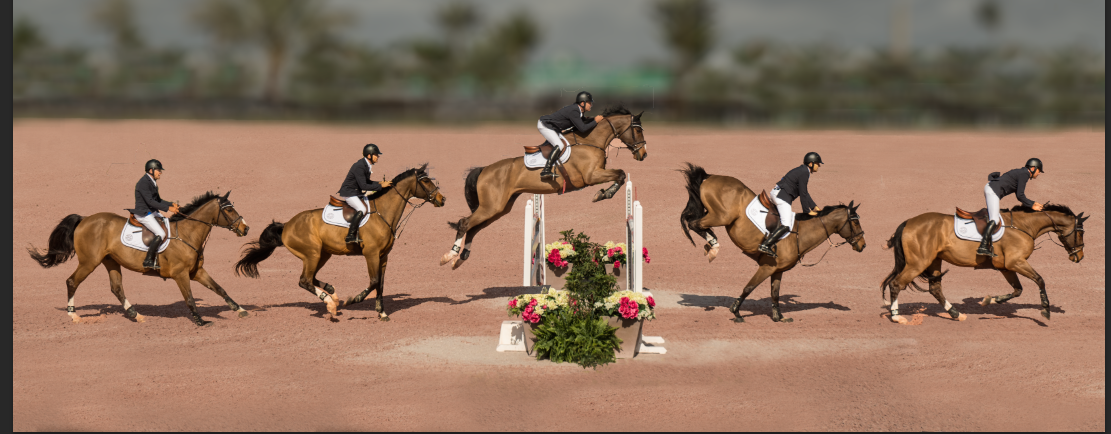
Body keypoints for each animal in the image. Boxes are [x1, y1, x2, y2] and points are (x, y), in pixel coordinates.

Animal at [27, 191, 251, 326]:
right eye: (229, 209)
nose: (245, 228)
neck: (188, 234)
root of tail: (85, 219)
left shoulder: (197, 272)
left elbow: (220, 289)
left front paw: (240, 309)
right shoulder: (181, 274)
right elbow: (189, 298)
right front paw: (201, 321)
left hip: (111, 261)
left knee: (116, 288)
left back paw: (136, 314)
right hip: (89, 262)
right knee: (72, 281)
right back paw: (73, 315)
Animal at [234, 165, 445, 321]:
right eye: (425, 180)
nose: (442, 199)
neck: (383, 213)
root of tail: (287, 225)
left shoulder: (384, 256)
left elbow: (381, 283)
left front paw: (382, 312)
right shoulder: (371, 254)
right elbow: (374, 281)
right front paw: (353, 300)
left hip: (323, 254)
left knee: (311, 278)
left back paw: (332, 294)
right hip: (312, 254)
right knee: (304, 280)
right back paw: (330, 304)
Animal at [440, 105, 648, 269]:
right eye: (638, 131)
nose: (643, 155)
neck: (590, 141)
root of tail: (484, 170)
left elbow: (621, 175)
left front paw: (603, 193)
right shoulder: (591, 176)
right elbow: (620, 174)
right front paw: (602, 194)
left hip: (499, 209)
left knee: (472, 228)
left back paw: (460, 259)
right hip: (491, 207)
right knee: (465, 223)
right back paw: (449, 256)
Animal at [678, 163, 866, 323]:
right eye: (856, 222)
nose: (863, 245)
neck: (800, 234)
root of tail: (709, 177)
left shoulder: (777, 270)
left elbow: (775, 294)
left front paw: (778, 317)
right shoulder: (766, 267)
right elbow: (749, 287)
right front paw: (736, 312)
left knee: (694, 222)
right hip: (721, 216)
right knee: (693, 223)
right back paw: (713, 244)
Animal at [880, 204, 1087, 324]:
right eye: (1081, 232)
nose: (1079, 256)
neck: (1024, 226)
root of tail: (908, 222)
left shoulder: (1006, 267)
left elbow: (1017, 290)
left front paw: (990, 300)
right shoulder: (1016, 262)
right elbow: (1040, 280)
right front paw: (1045, 310)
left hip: (934, 261)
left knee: (935, 288)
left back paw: (956, 314)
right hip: (918, 263)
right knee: (896, 284)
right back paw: (897, 316)